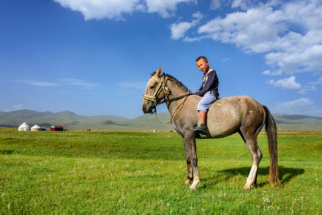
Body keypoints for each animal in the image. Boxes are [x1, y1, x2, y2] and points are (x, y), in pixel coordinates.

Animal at [142, 67, 280, 190]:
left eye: (152, 86)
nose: (144, 108)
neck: (182, 104)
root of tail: (260, 105)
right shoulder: (184, 137)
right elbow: (188, 158)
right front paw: (188, 180)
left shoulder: (189, 135)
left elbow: (194, 158)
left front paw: (195, 183)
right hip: (245, 135)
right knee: (255, 156)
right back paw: (253, 183)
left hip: (249, 134)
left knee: (256, 156)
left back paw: (248, 183)